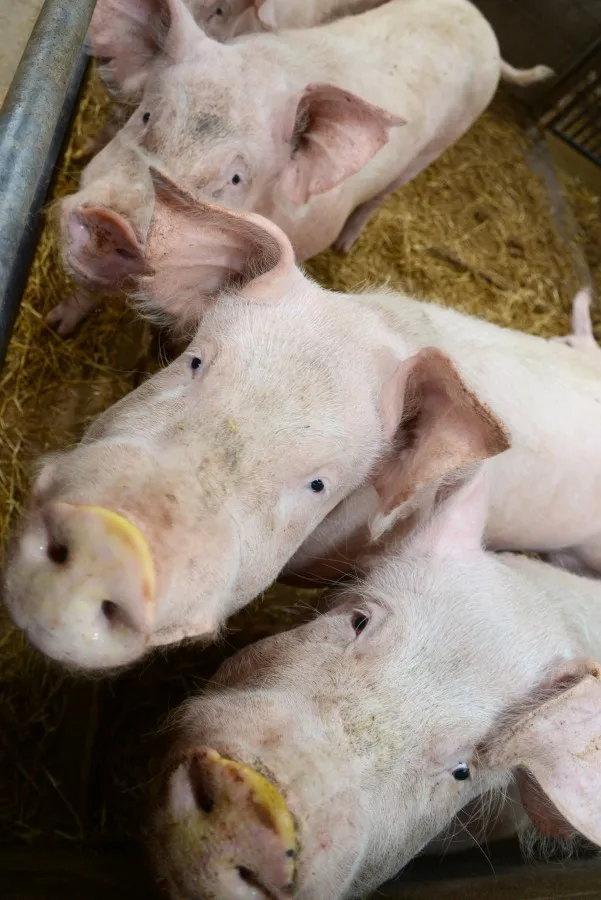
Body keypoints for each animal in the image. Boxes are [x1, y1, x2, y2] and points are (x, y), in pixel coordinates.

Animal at [47, 0, 553, 335]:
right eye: (148, 116)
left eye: (236, 178)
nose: (111, 221)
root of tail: (483, 24)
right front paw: (56, 325)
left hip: (436, 147)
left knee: (380, 197)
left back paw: (348, 246)